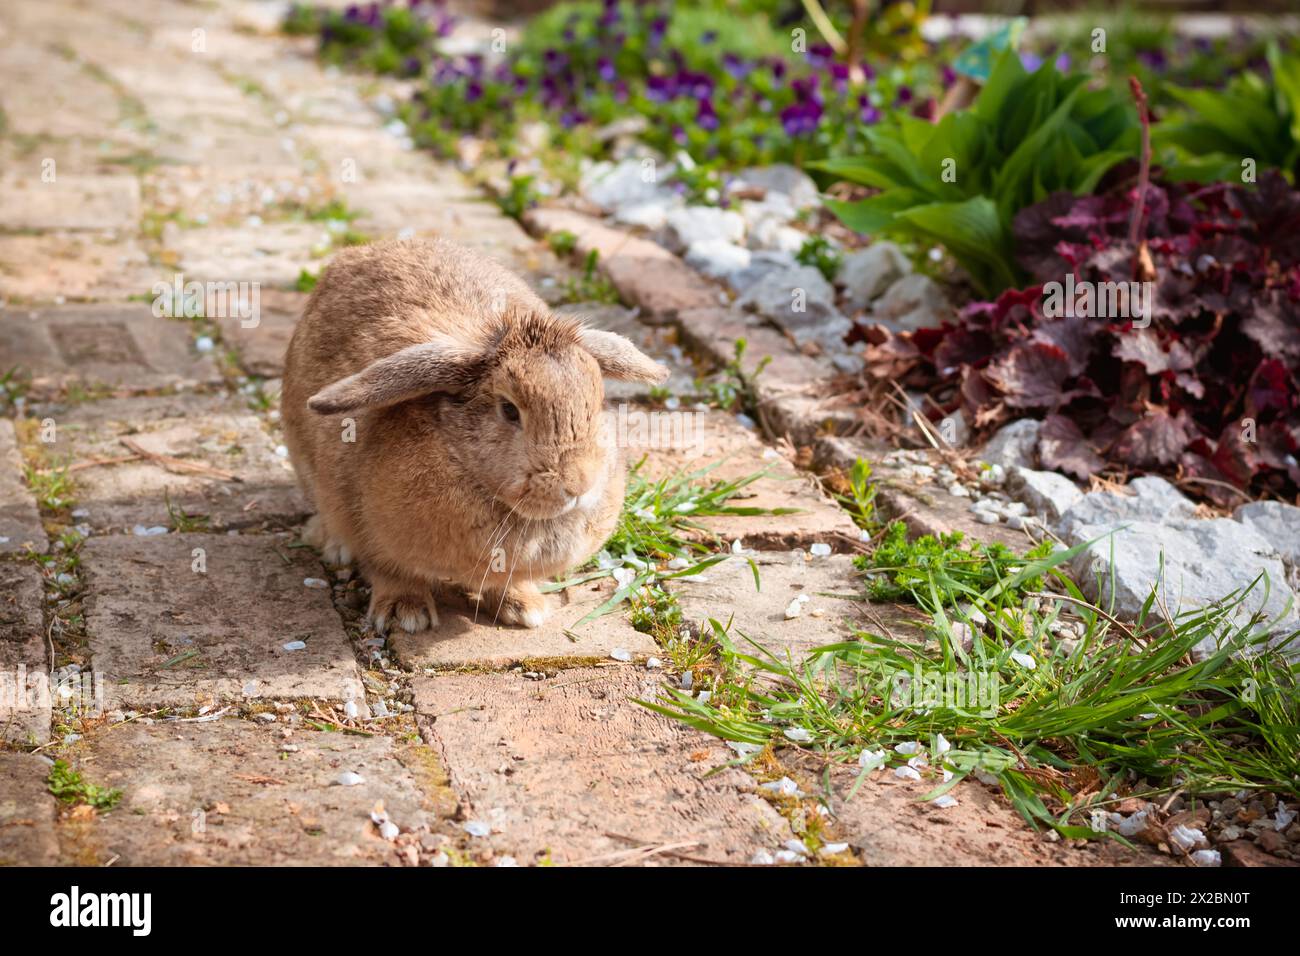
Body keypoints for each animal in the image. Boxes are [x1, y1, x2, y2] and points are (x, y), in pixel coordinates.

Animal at [281, 238, 668, 634]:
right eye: (509, 410)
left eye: (598, 402)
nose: (579, 484)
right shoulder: (370, 533)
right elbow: (390, 571)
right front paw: (406, 615)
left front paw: (525, 608)